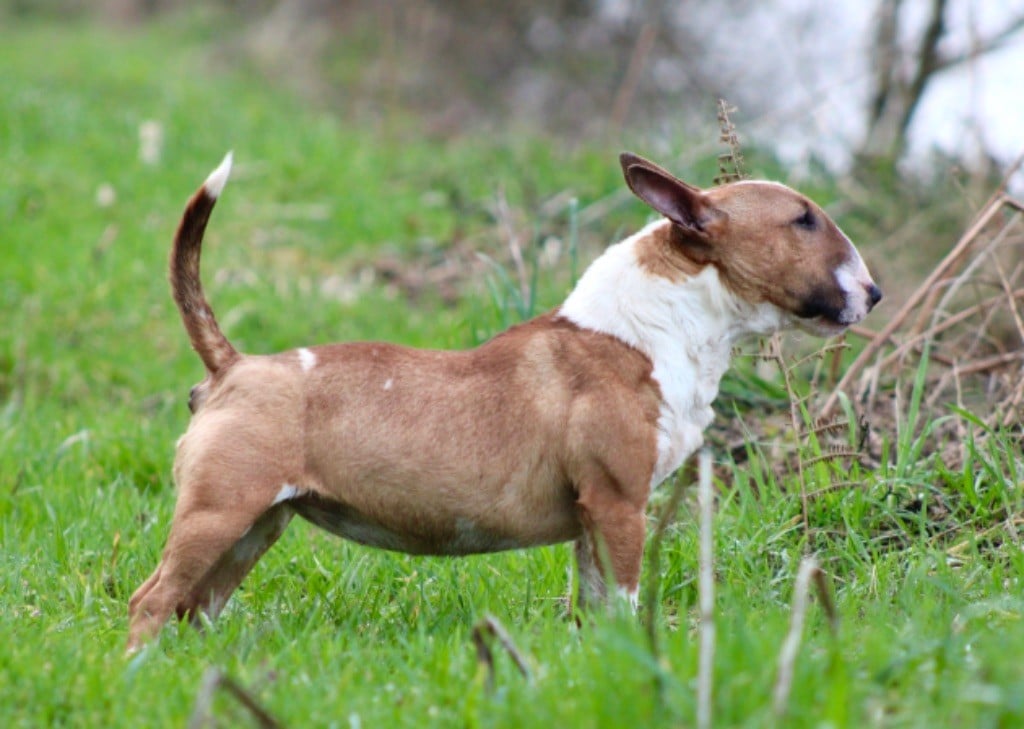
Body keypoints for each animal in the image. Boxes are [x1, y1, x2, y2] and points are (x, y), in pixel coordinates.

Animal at [125, 152, 880, 651]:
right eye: (803, 219)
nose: (874, 294)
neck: (652, 329)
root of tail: (234, 366)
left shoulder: (592, 520)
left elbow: (594, 608)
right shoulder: (618, 504)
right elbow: (626, 600)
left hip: (256, 526)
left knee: (193, 607)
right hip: (220, 513)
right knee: (150, 599)